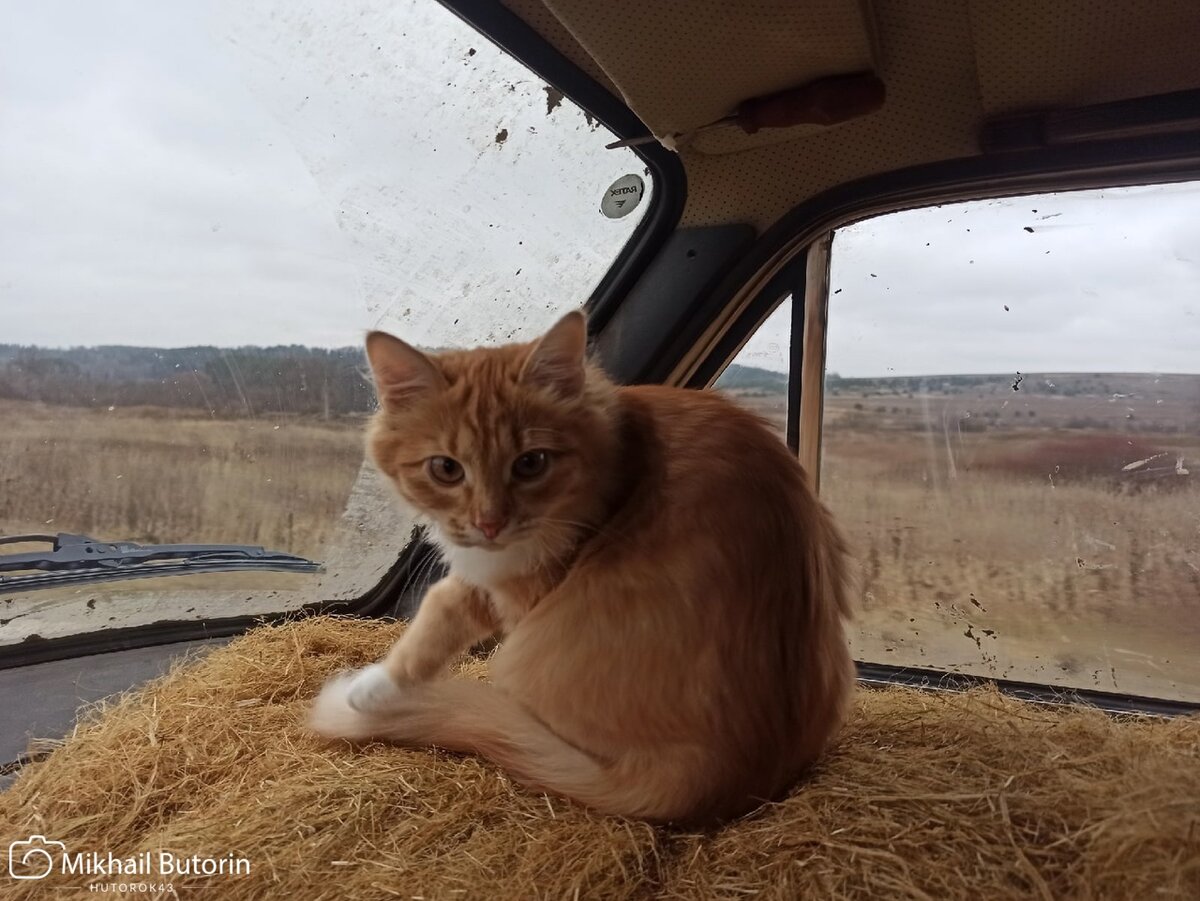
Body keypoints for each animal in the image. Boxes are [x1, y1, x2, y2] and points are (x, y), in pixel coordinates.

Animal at [309, 309, 854, 825]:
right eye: (446, 469)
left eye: (531, 463)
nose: (490, 524)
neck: (616, 456)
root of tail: (724, 777)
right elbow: (439, 614)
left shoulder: (515, 589)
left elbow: (438, 609)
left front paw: (368, 691)